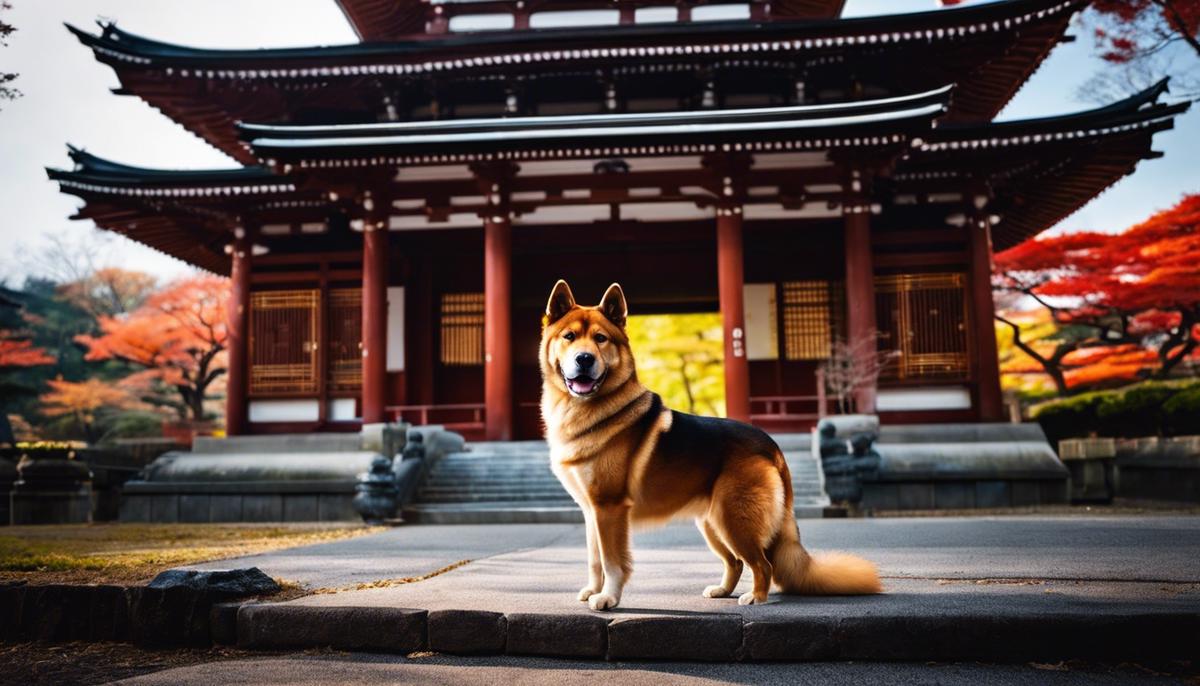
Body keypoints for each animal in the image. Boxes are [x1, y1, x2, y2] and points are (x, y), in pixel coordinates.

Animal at [540, 278, 878, 611]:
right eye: (569, 337)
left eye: (600, 339)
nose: (584, 359)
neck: (587, 409)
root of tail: (771, 445)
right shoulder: (591, 512)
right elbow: (595, 559)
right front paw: (592, 590)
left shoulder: (610, 508)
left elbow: (612, 561)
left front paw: (608, 597)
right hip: (713, 523)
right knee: (736, 562)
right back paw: (722, 590)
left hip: (734, 520)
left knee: (762, 564)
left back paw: (756, 597)